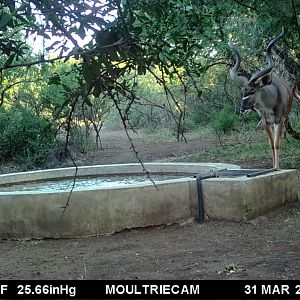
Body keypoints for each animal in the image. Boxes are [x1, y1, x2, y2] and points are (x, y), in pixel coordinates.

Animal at [230, 30, 296, 170]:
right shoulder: (265, 122)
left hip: (285, 118)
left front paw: (277, 167)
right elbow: (271, 144)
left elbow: (276, 144)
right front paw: (272, 166)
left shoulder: (278, 120)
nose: (242, 109)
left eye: (252, 91)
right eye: (242, 92)